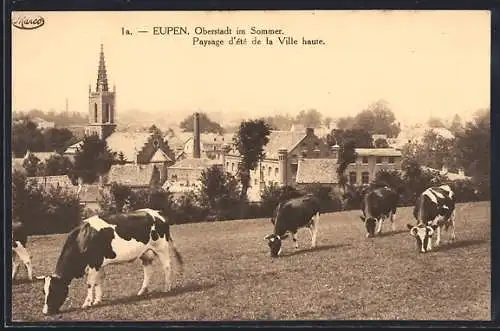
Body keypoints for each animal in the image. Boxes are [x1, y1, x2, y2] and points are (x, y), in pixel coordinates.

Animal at [36, 209, 184, 316]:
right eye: (43, 291)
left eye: (54, 290)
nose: (45, 312)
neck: (82, 238)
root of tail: (157, 213)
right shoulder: (98, 264)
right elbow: (98, 281)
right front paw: (97, 300)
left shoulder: (94, 262)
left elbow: (90, 284)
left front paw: (87, 303)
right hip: (145, 253)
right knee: (148, 270)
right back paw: (142, 291)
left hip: (161, 247)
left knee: (167, 266)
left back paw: (167, 288)